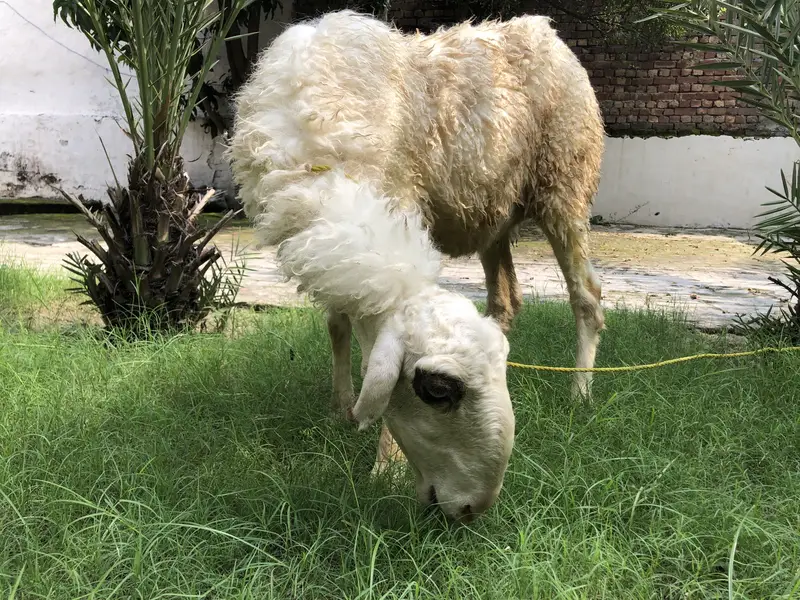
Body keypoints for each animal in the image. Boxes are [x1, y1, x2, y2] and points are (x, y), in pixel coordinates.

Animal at [228, 10, 605, 518]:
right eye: (439, 392)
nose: (476, 509)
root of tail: (540, 28)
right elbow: (336, 325)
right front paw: (341, 407)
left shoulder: (398, 193)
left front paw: (383, 468)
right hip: (492, 211)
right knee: (506, 300)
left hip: (565, 180)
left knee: (587, 297)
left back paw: (580, 395)